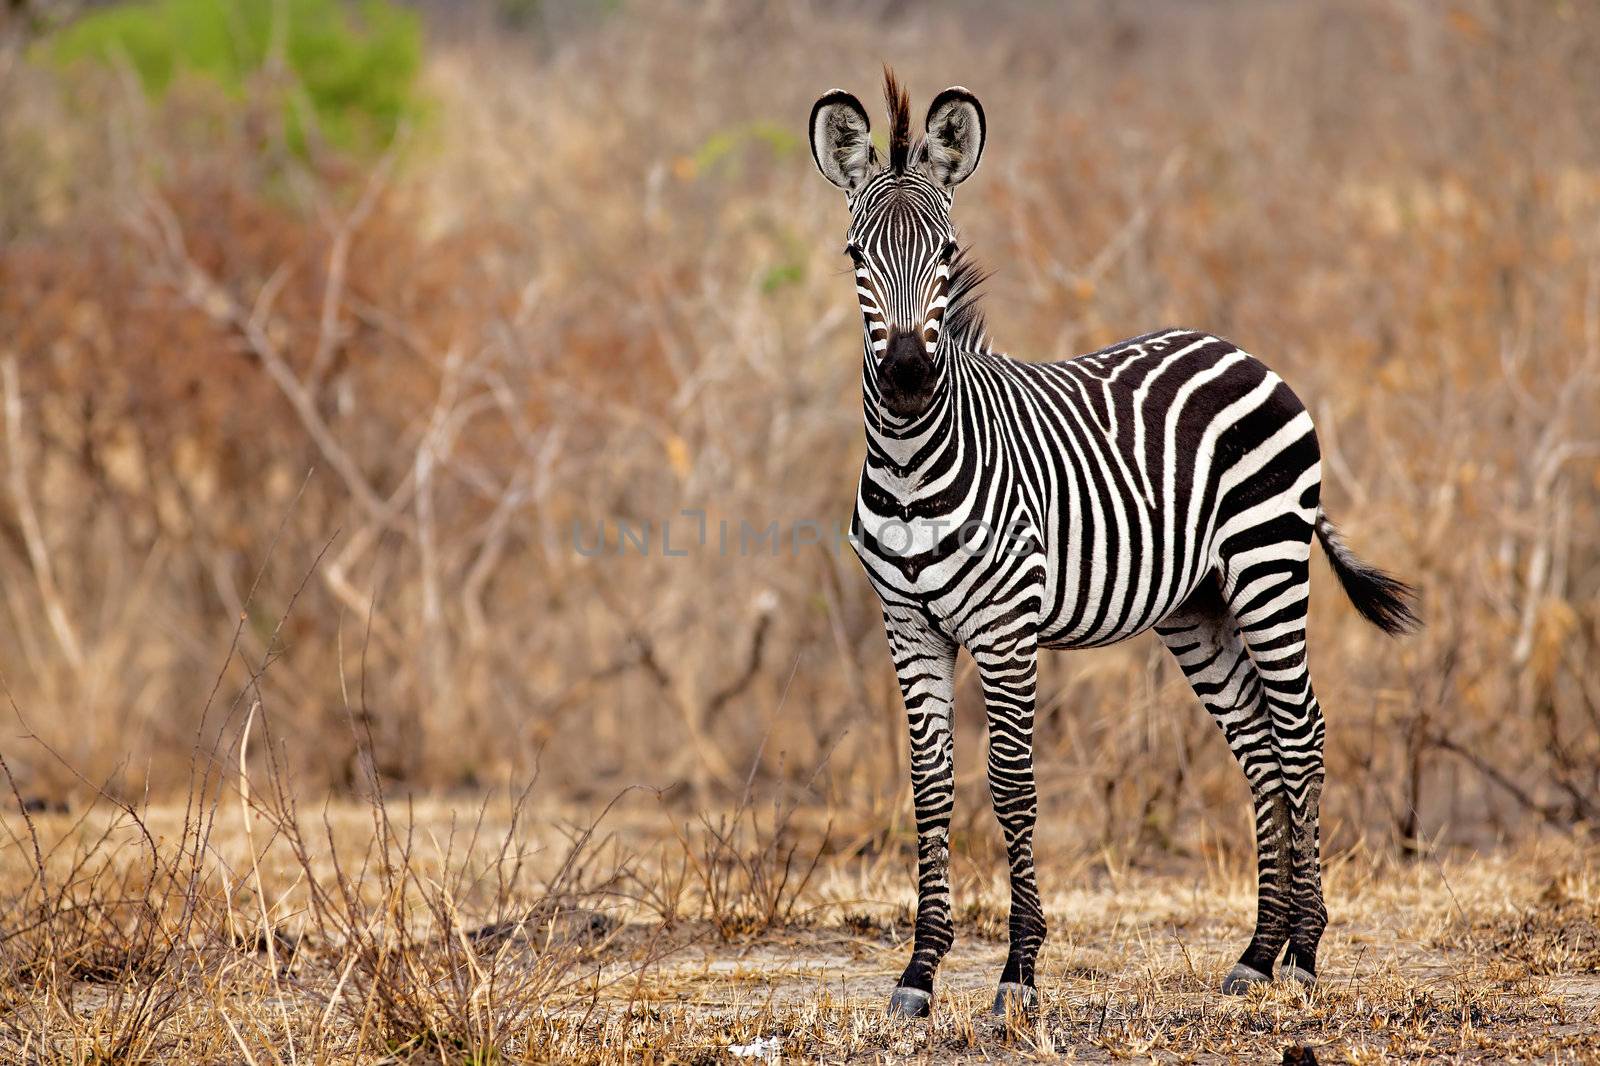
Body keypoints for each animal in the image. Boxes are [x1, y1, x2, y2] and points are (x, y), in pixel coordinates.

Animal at [806, 70, 1420, 1017]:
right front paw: (919, 971)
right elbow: (930, 789)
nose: (908, 378)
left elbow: (1011, 787)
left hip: (1268, 565)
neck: (912, 463)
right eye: (854, 257)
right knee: (1258, 747)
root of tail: (1241, 351)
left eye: (946, 254)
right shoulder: (908, 628)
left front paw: (1019, 973)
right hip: (1197, 607)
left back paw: (1306, 954)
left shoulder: (1005, 629)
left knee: (1301, 733)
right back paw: (1258, 952)